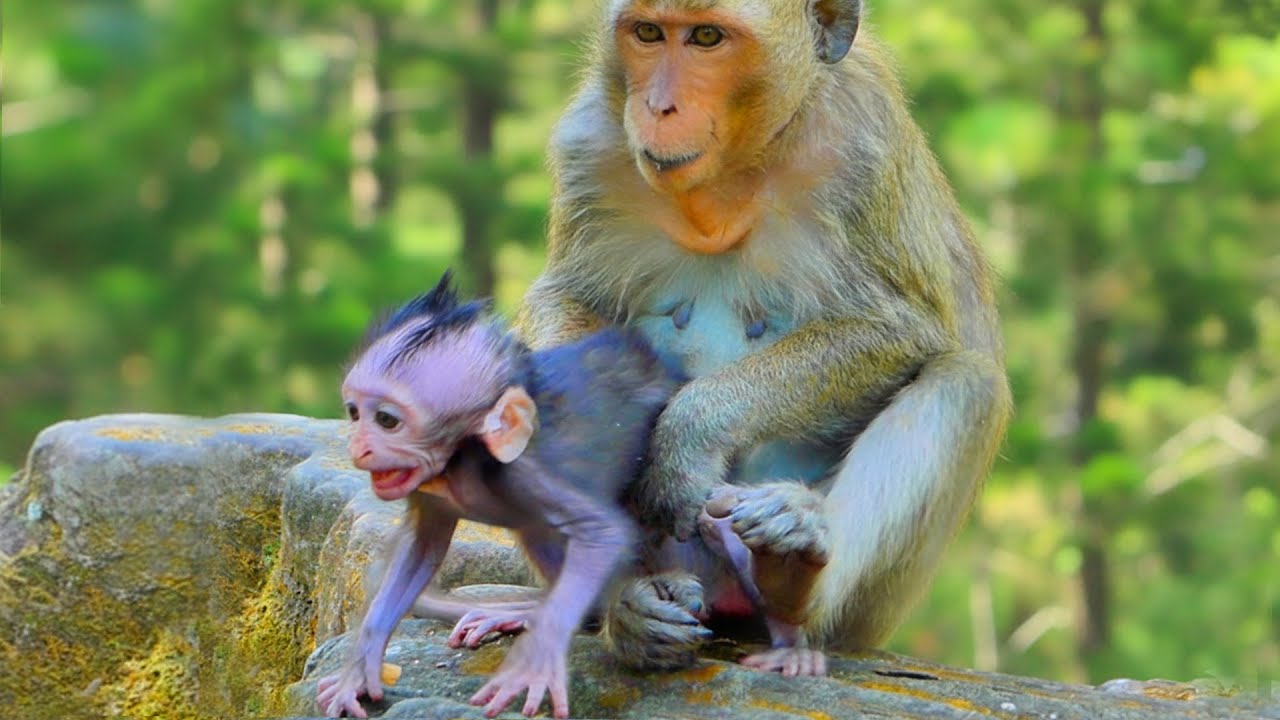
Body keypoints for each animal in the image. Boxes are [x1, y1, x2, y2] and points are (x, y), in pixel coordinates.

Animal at [515, 0, 1013, 670]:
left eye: (706, 37)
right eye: (648, 33)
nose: (658, 107)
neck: (730, 182)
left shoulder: (863, 144)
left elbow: (900, 328)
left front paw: (688, 433)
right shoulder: (587, 145)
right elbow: (564, 299)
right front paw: (598, 423)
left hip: (863, 610)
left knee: (966, 379)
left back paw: (793, 582)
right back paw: (627, 609)